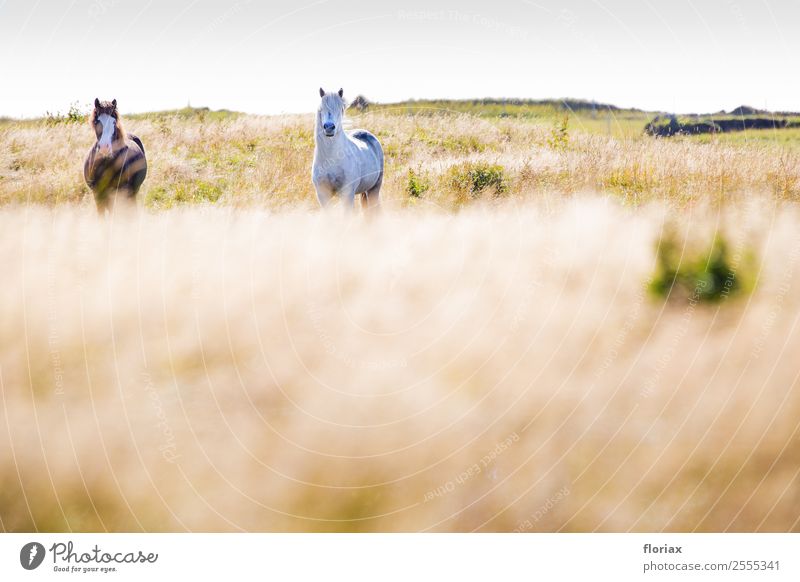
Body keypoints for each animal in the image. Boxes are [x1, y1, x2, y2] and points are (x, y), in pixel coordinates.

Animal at [310, 86, 382, 214]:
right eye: (320, 108)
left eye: (341, 109)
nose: (329, 128)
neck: (331, 159)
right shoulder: (322, 194)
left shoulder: (347, 194)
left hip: (374, 189)